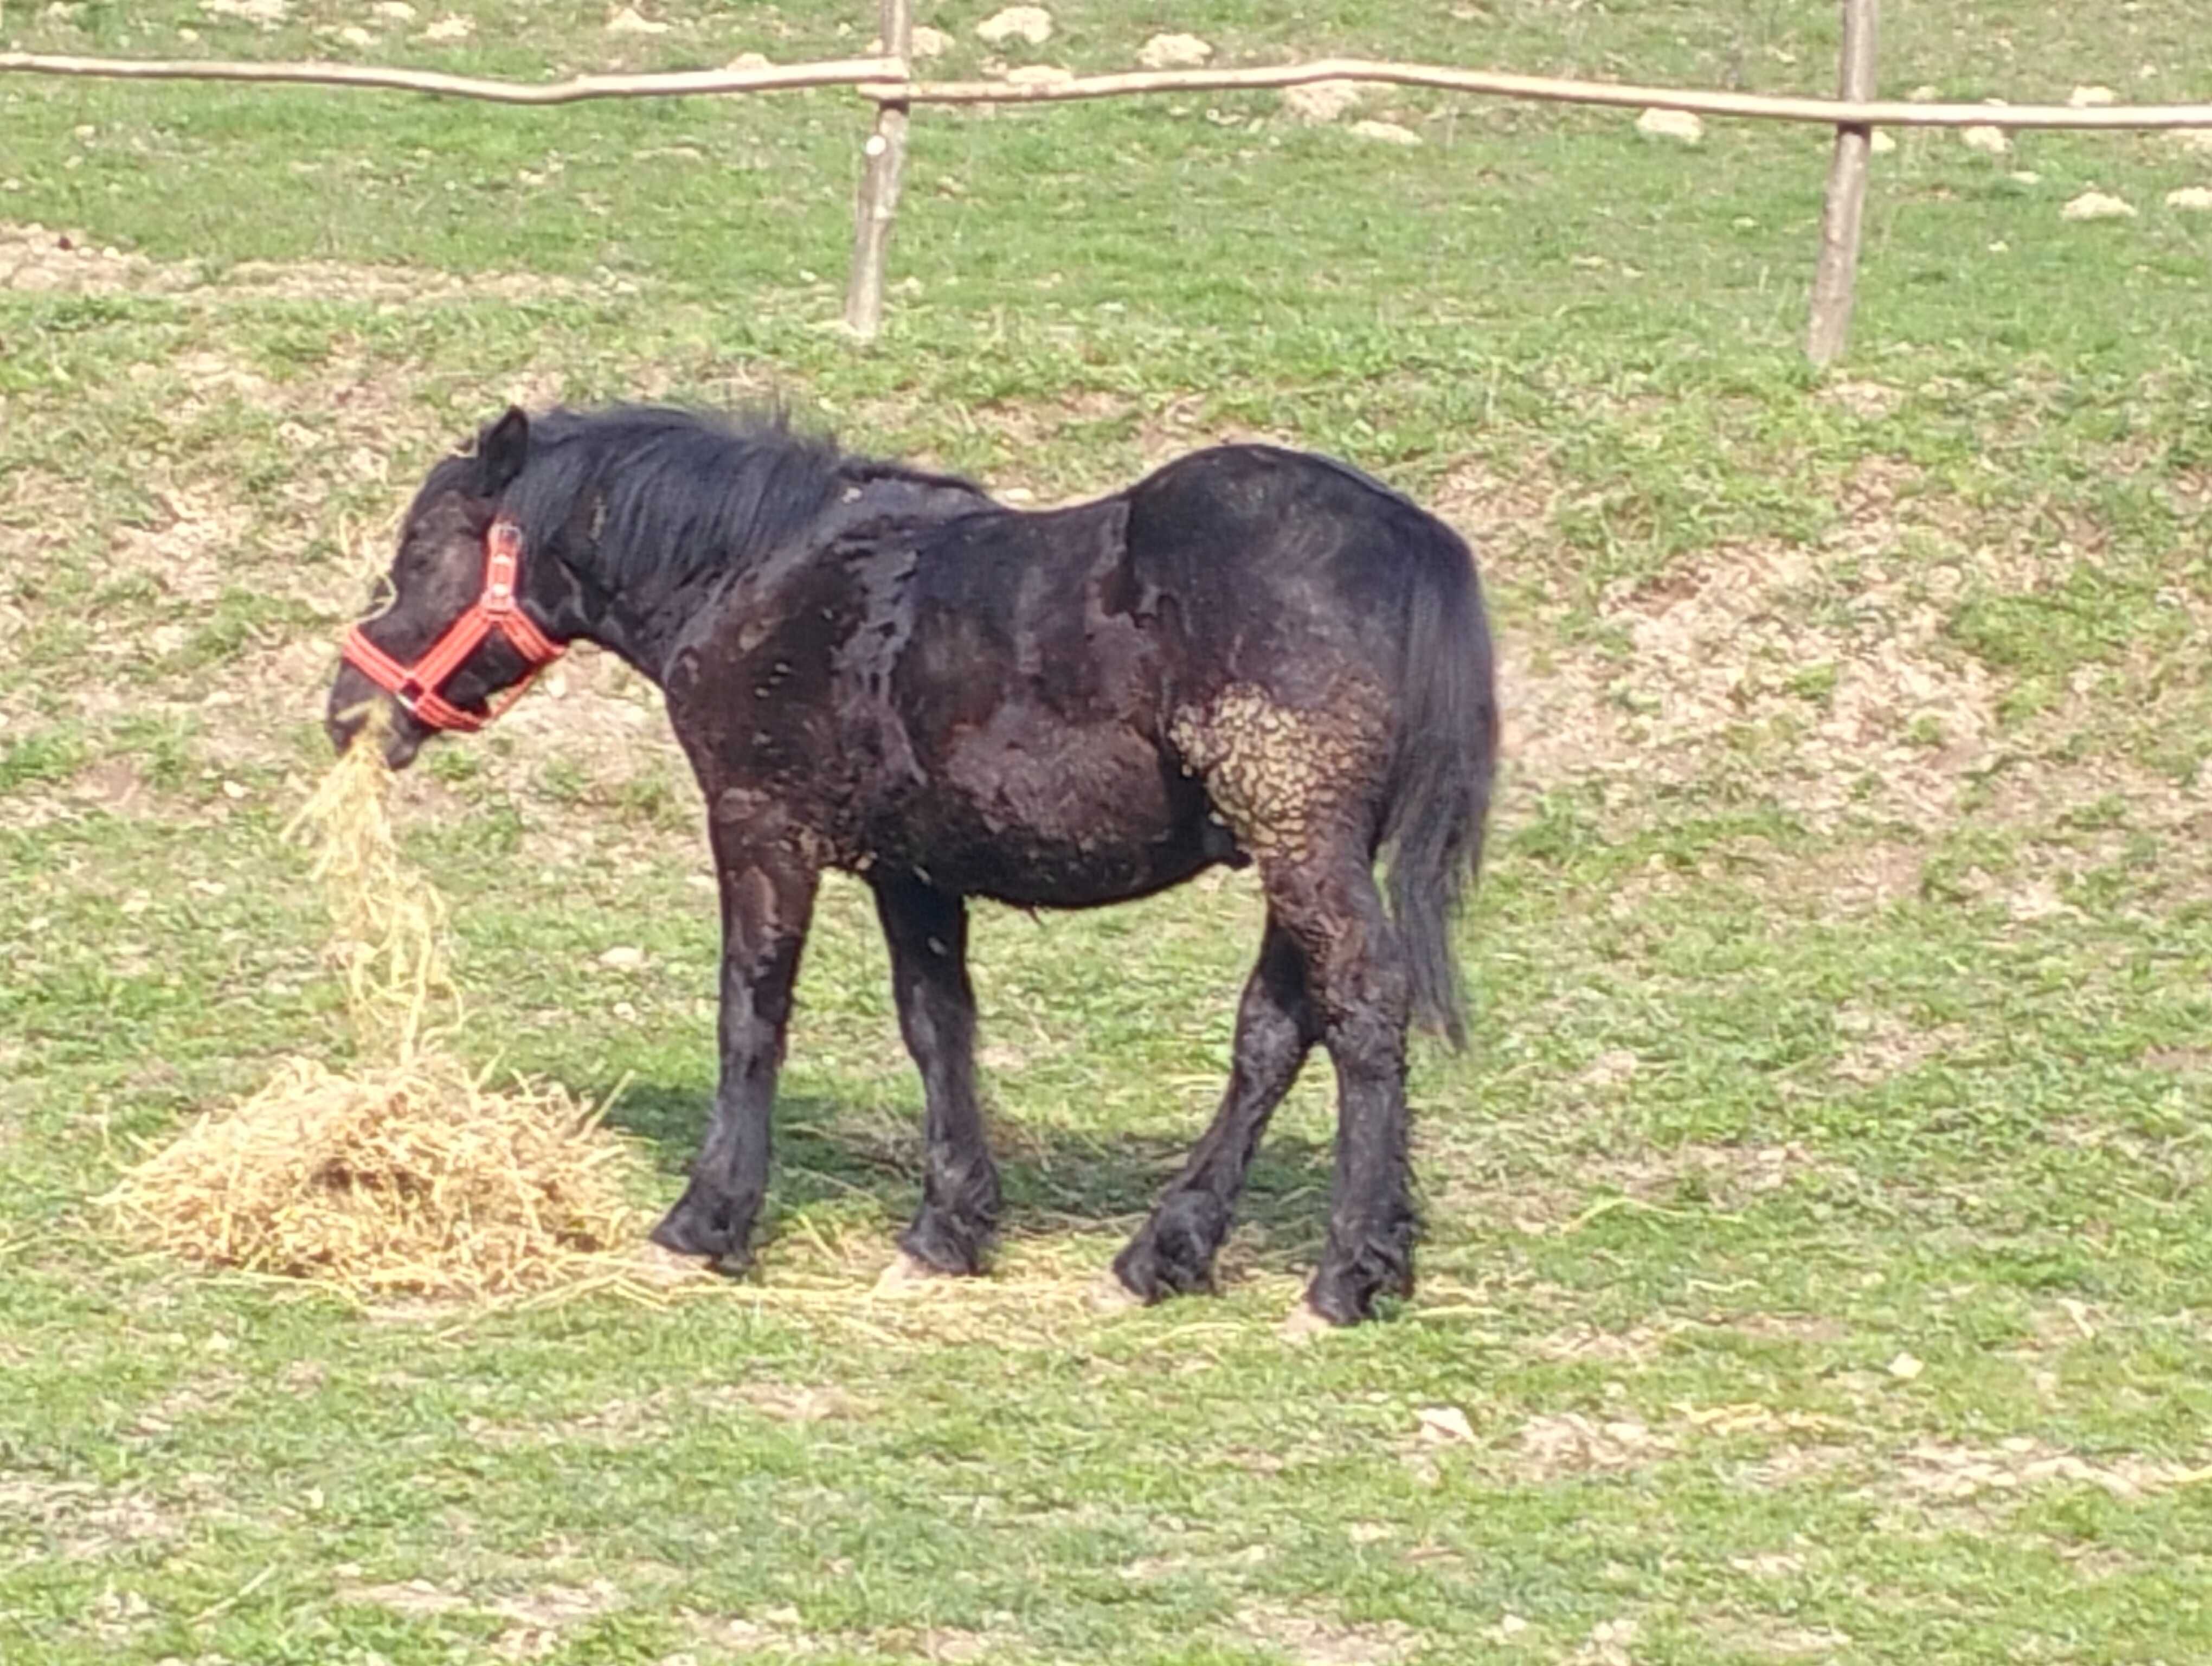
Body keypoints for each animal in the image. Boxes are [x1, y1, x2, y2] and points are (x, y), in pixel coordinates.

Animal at [323, 407, 1504, 1327]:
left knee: (1363, 1007)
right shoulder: (914, 868)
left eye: (425, 547)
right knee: (1275, 1031)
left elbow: (752, 1014)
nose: (347, 707)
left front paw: (704, 1223)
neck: (759, 573)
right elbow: (938, 1026)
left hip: (1302, 838)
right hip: (1295, 850)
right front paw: (946, 1232)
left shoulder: (761, 826)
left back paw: (1345, 1278)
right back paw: (1163, 1254)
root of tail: (1415, 543)